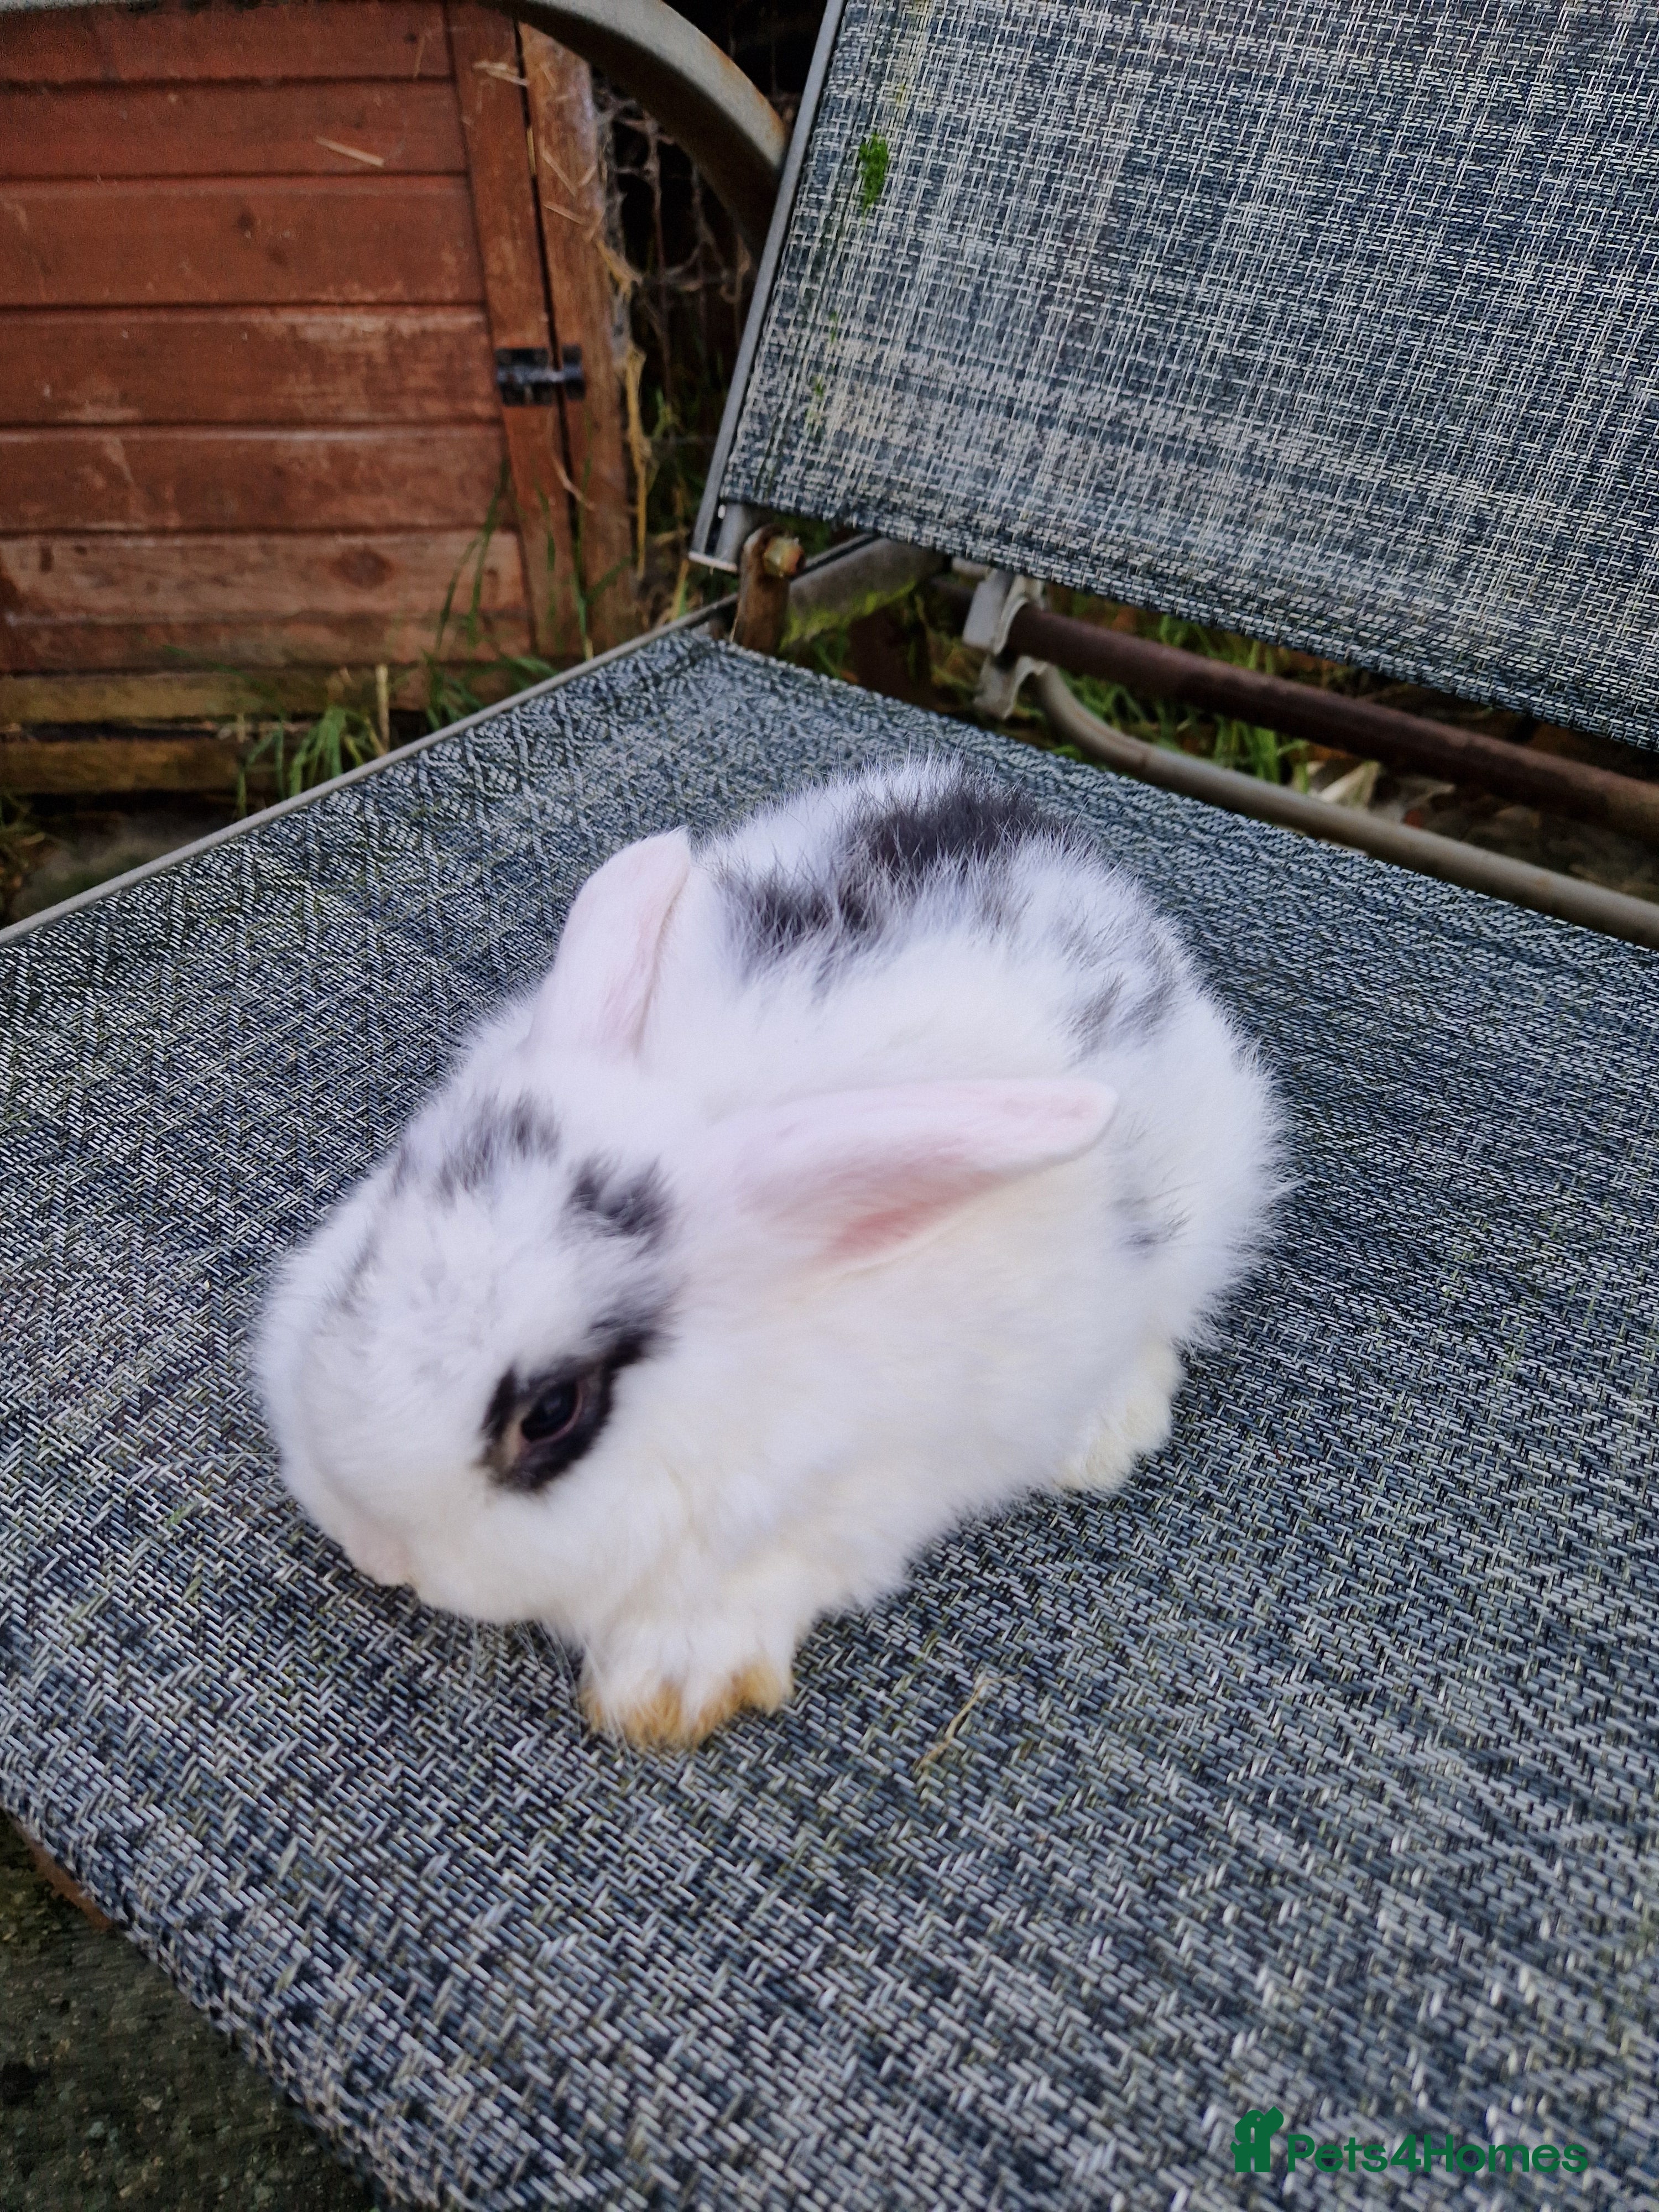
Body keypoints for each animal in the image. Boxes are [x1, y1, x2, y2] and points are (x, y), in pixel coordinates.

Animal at [257, 758, 1281, 1747]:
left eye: (551, 1413)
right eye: (365, 1259)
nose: (375, 1551)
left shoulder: (859, 1507)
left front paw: (668, 1692)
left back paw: (1103, 1438)